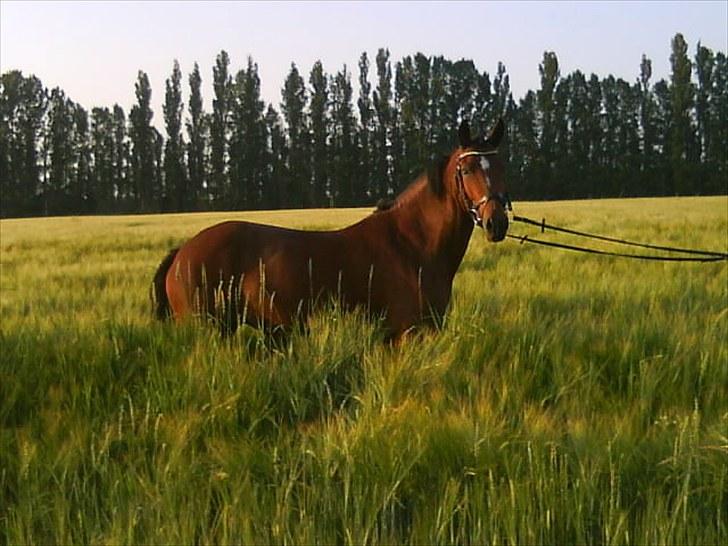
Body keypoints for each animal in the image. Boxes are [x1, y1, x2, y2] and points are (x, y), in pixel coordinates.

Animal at [151, 119, 510, 342]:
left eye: (501, 165)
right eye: (467, 168)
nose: (496, 223)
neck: (411, 244)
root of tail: (182, 253)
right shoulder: (404, 333)